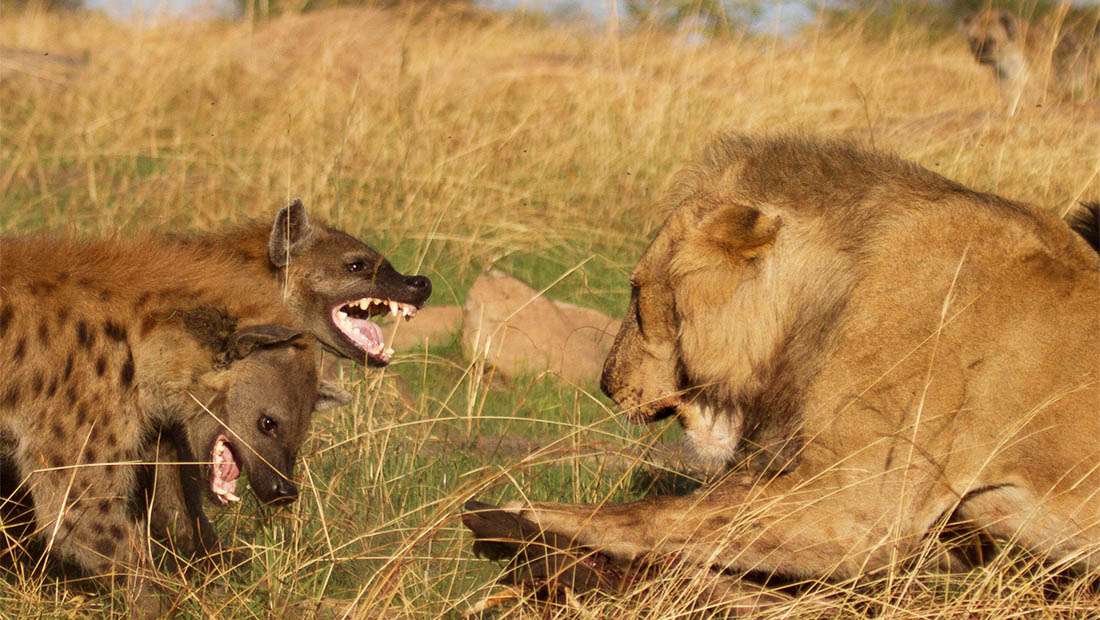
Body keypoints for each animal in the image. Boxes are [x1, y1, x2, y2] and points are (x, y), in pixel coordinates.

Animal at [464, 134, 1100, 606]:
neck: (831, 294)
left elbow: (660, 513)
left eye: (637, 294)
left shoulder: (860, 508)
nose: (605, 384)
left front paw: (518, 516)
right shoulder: (953, 537)